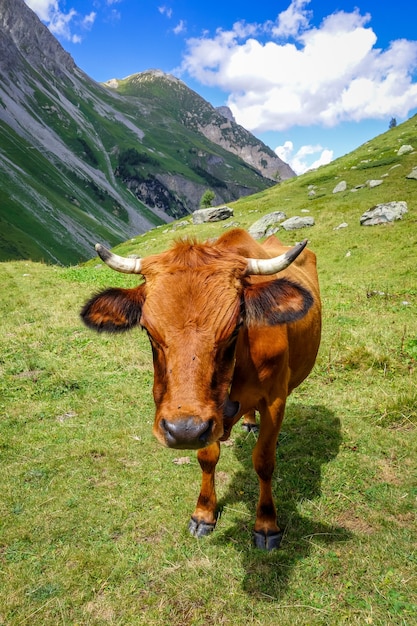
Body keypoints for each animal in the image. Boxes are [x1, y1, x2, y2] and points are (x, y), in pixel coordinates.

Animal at [81, 228, 322, 544]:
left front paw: (267, 524)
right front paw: (204, 514)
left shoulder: (275, 399)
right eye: (147, 330)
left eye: (236, 326)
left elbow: (264, 460)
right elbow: (207, 457)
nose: (184, 430)